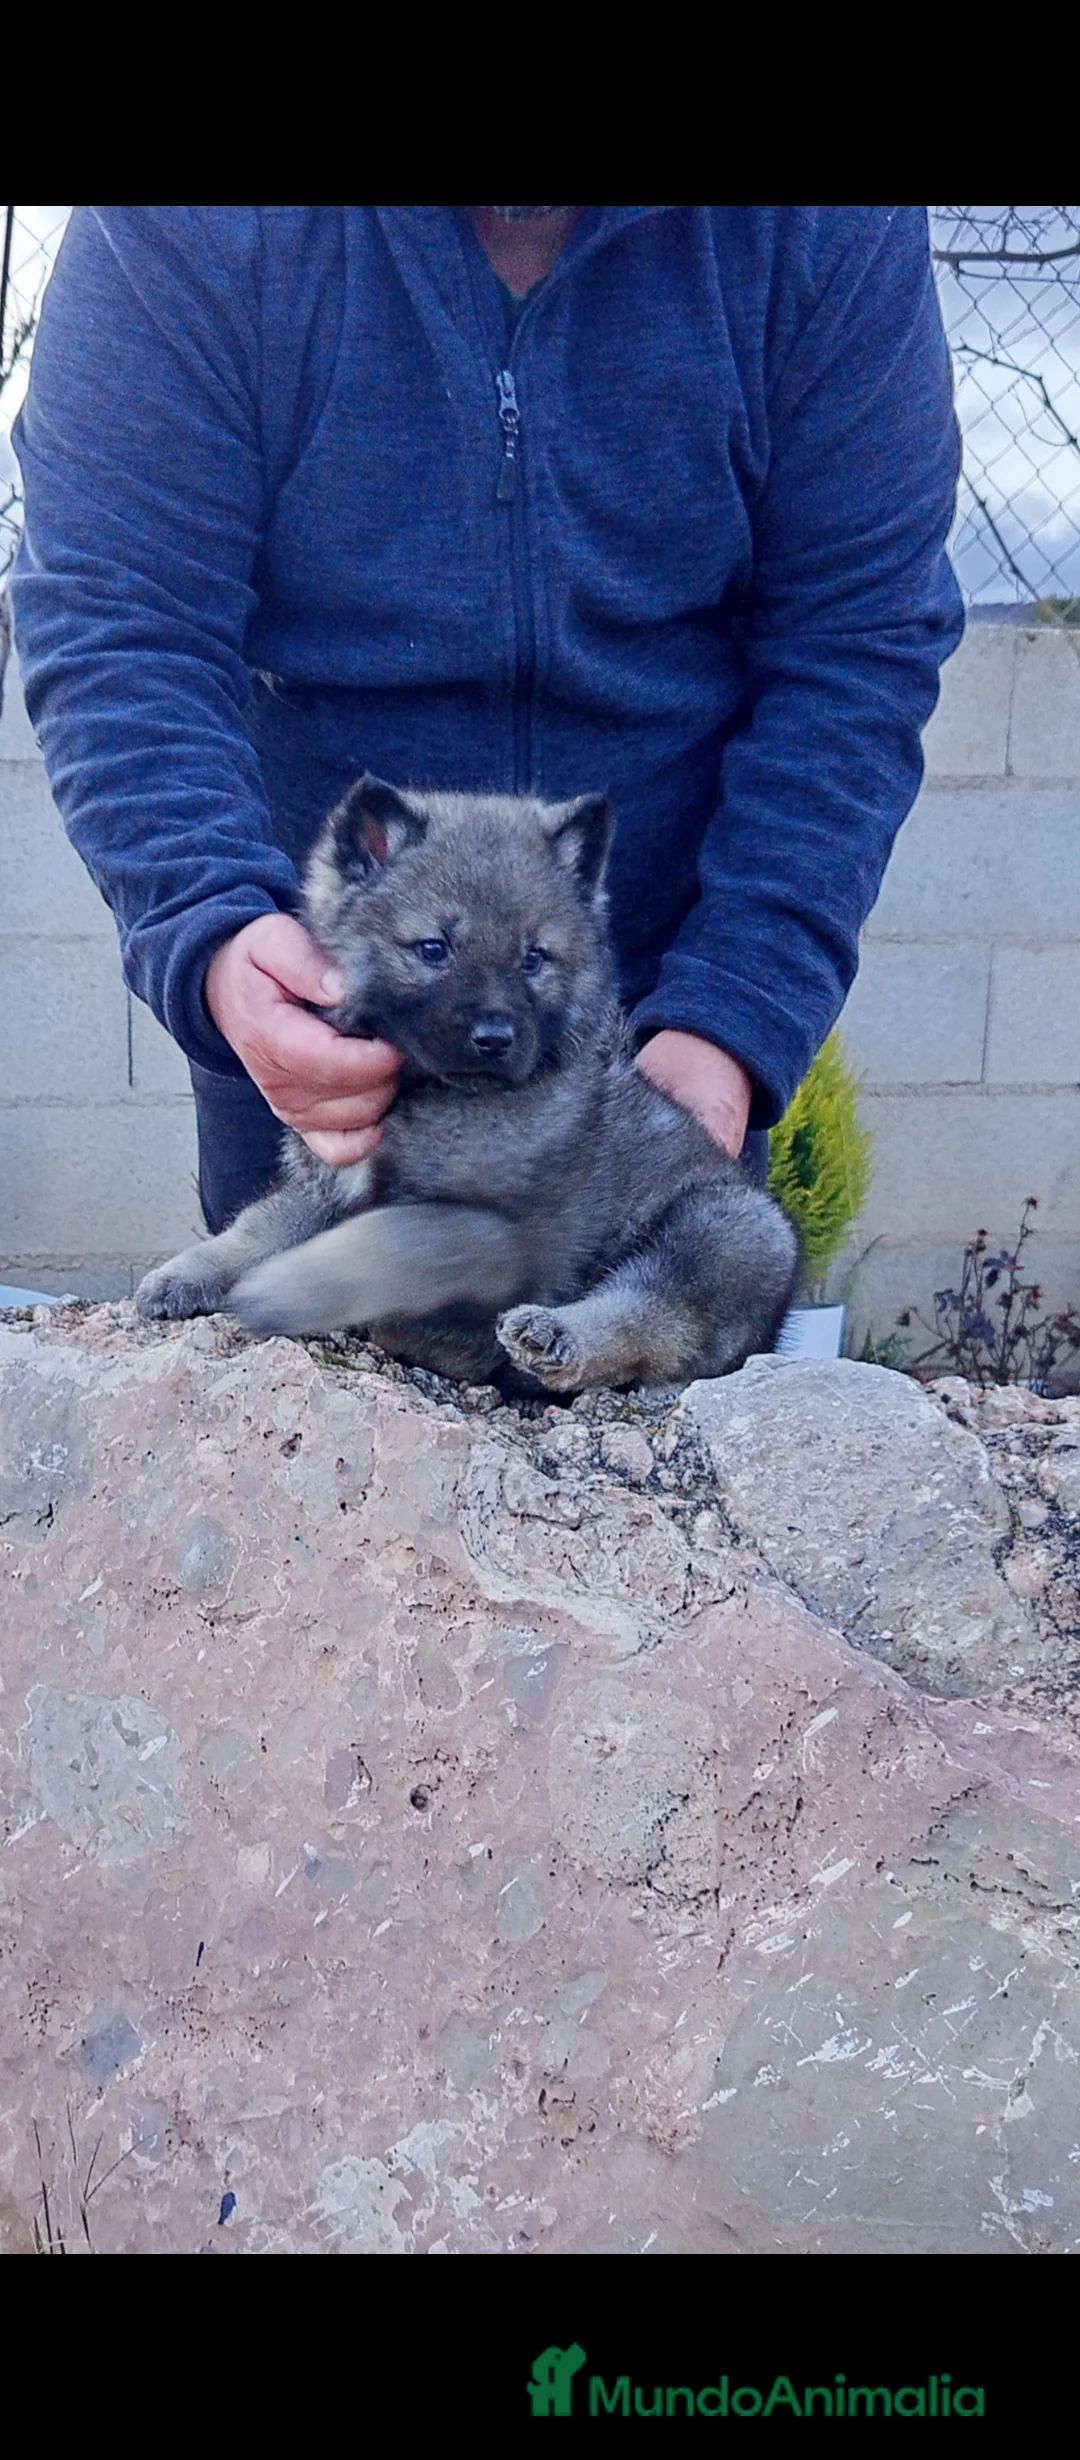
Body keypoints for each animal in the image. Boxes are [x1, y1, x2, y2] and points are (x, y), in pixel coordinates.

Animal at [136, 777, 798, 1394]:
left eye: (534, 958)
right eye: (434, 948)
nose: (496, 1036)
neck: (422, 1095)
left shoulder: (500, 1234)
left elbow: (392, 1240)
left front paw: (290, 1290)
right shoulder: (329, 1183)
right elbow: (261, 1223)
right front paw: (191, 1272)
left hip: (727, 1227)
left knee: (655, 1316)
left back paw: (553, 1335)